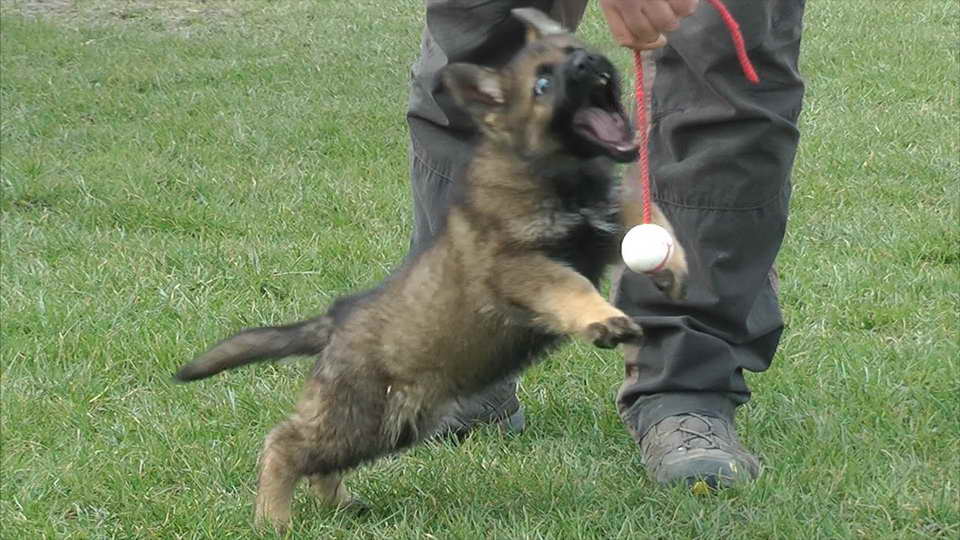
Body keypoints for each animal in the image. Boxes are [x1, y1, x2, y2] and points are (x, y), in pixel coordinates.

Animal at [172, 8, 684, 528]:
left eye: (575, 49)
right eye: (542, 83)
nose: (589, 61)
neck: (554, 171)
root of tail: (337, 320)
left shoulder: (605, 222)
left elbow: (649, 220)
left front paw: (674, 266)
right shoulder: (516, 266)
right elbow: (569, 285)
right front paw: (604, 318)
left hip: (385, 425)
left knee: (318, 461)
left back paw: (341, 505)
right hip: (362, 414)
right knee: (284, 444)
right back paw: (273, 518)